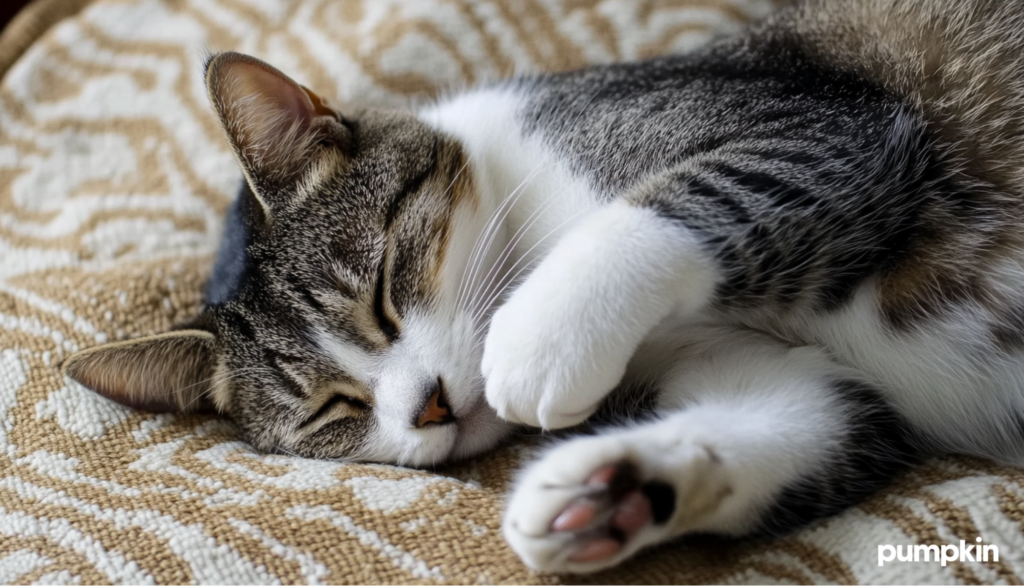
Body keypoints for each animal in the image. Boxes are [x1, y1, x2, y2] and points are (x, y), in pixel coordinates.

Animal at [61, 0, 1024, 573]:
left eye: (383, 289)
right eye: (333, 412)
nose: (430, 405)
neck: (528, 234)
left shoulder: (832, 129)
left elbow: (694, 195)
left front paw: (539, 340)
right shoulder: (774, 371)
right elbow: (803, 415)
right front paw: (605, 492)